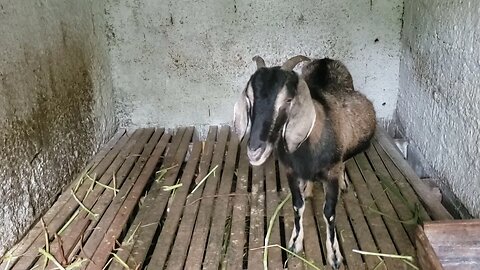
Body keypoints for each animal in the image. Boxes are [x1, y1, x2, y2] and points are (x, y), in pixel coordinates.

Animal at [232, 55, 376, 270]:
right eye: (250, 98)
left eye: (288, 100)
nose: (255, 150)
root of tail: (326, 59)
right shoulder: (291, 171)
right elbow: (297, 205)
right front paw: (294, 242)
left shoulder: (331, 174)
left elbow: (329, 213)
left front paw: (334, 256)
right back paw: (307, 188)